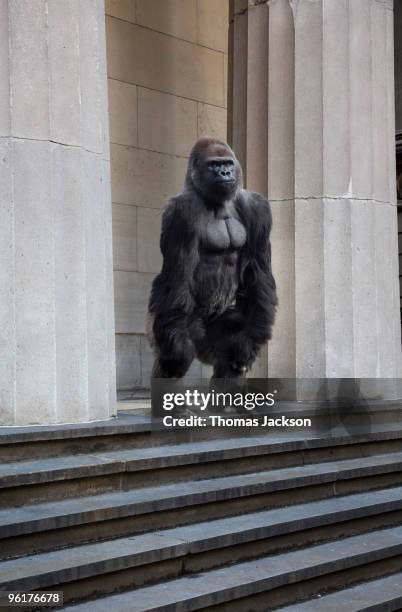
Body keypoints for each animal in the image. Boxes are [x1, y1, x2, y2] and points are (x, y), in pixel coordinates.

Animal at [148, 136, 276, 380]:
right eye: (214, 165)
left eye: (227, 163)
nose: (225, 173)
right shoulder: (183, 212)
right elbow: (177, 277)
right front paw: (177, 354)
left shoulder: (257, 208)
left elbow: (259, 274)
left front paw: (249, 343)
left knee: (230, 352)